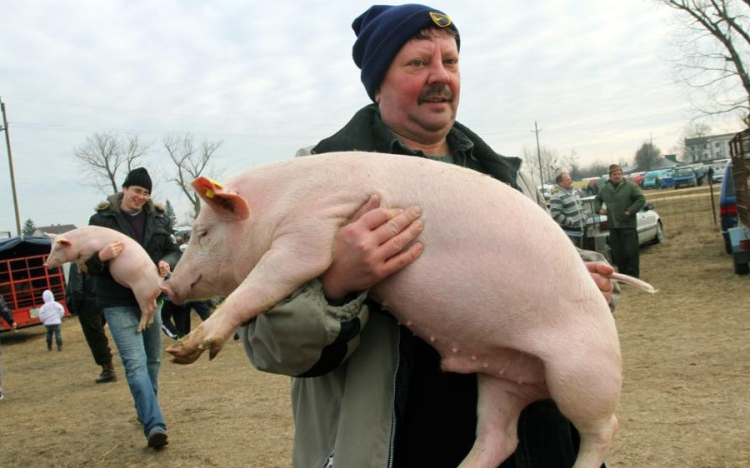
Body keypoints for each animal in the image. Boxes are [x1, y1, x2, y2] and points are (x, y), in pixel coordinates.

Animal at [161, 152, 655, 468]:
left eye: (203, 233)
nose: (168, 284)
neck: (280, 204)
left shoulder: (313, 231)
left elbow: (264, 281)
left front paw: (186, 349)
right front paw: (179, 353)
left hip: (583, 372)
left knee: (604, 428)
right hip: (499, 378)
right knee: (499, 438)